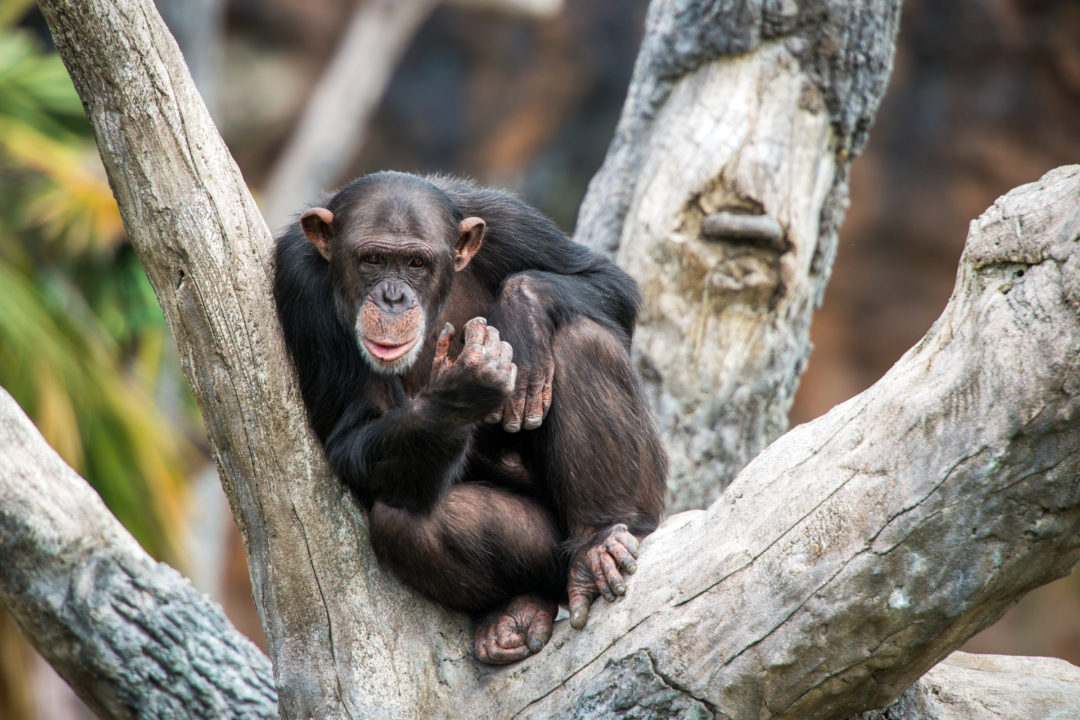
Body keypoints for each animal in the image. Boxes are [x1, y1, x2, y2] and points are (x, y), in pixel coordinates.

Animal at [272, 170, 665, 664]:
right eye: (373, 259)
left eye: (416, 263)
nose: (392, 297)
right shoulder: (300, 281)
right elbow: (352, 434)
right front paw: (462, 391)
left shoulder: (508, 221)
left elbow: (608, 282)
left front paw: (522, 314)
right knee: (405, 523)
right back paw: (513, 611)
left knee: (579, 337)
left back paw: (602, 541)